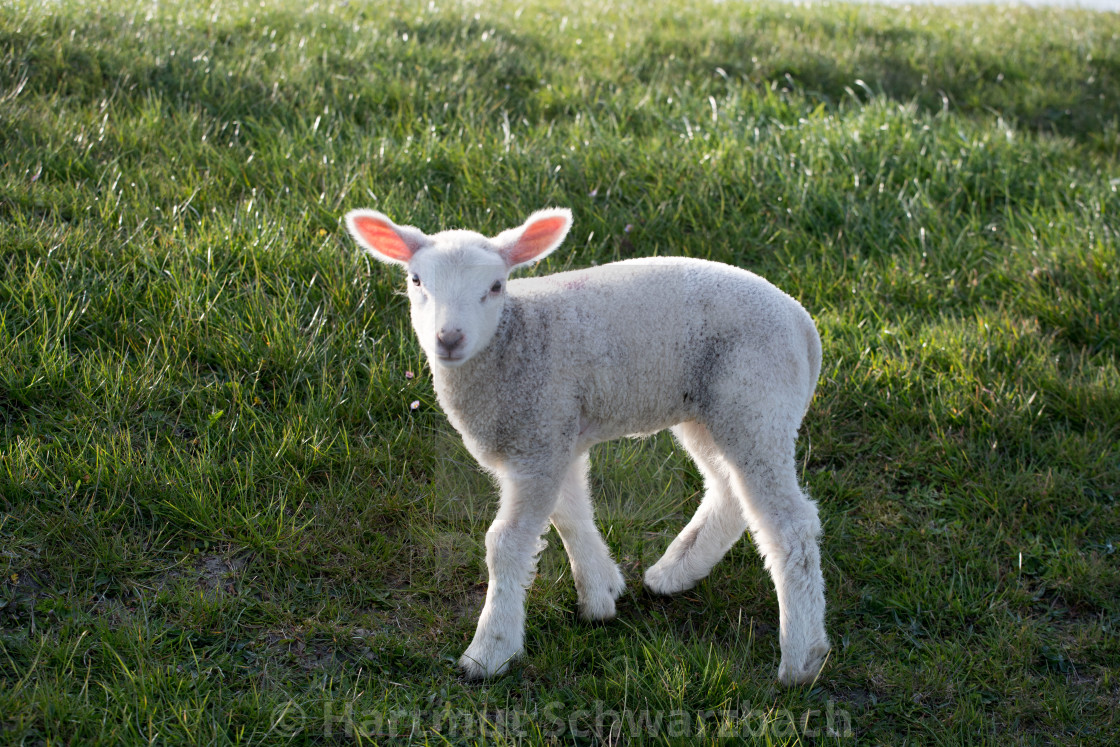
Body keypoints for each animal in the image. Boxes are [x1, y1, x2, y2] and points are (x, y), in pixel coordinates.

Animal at [344, 207, 828, 685]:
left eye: (496, 286)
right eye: (416, 280)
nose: (448, 338)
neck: (512, 342)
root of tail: (803, 324)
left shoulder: (539, 436)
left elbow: (506, 542)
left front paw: (490, 650)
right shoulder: (558, 432)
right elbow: (571, 515)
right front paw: (600, 594)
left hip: (755, 401)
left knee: (791, 525)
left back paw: (801, 659)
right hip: (712, 411)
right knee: (730, 493)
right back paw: (674, 573)